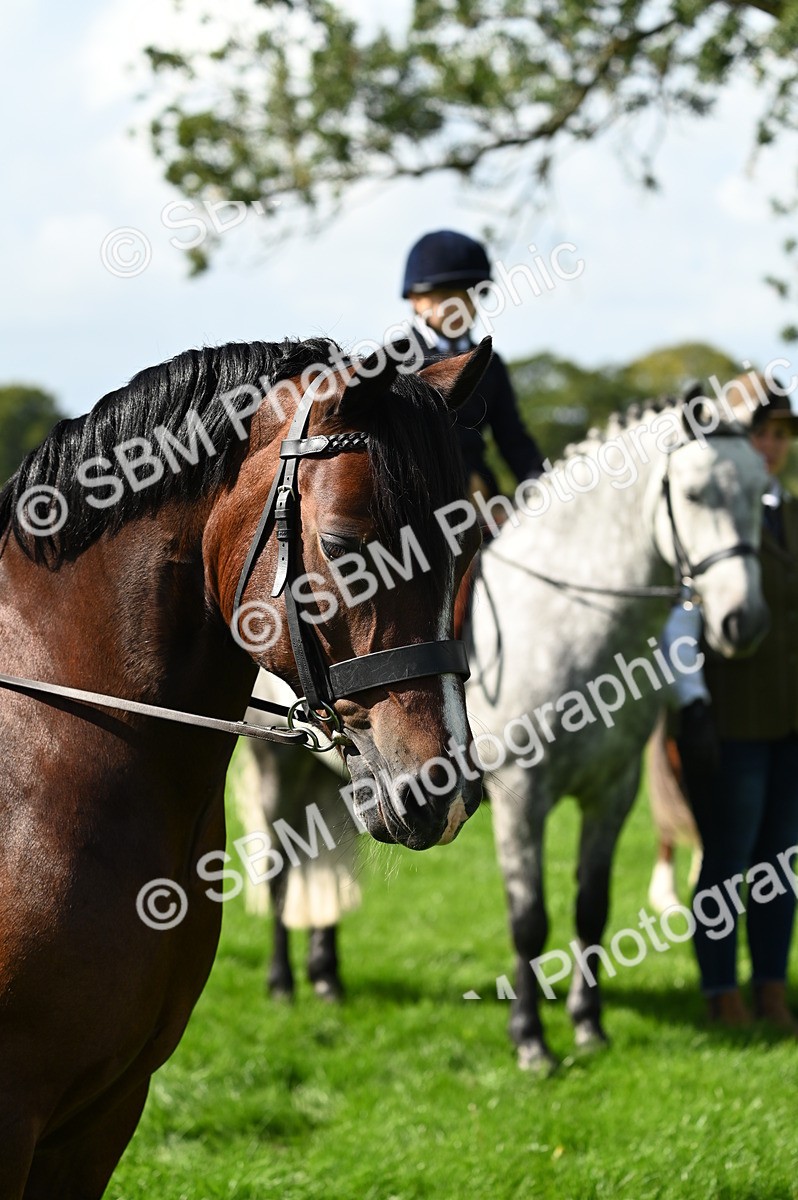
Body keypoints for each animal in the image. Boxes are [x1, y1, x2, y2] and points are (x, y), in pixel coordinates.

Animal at [238, 396, 770, 1069]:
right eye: (696, 494)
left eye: (760, 494)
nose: (742, 622)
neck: (569, 619)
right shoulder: (523, 796)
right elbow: (529, 918)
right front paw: (531, 1039)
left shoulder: (613, 793)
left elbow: (591, 908)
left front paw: (589, 1025)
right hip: (278, 764)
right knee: (282, 864)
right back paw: (283, 982)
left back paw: (327, 976)